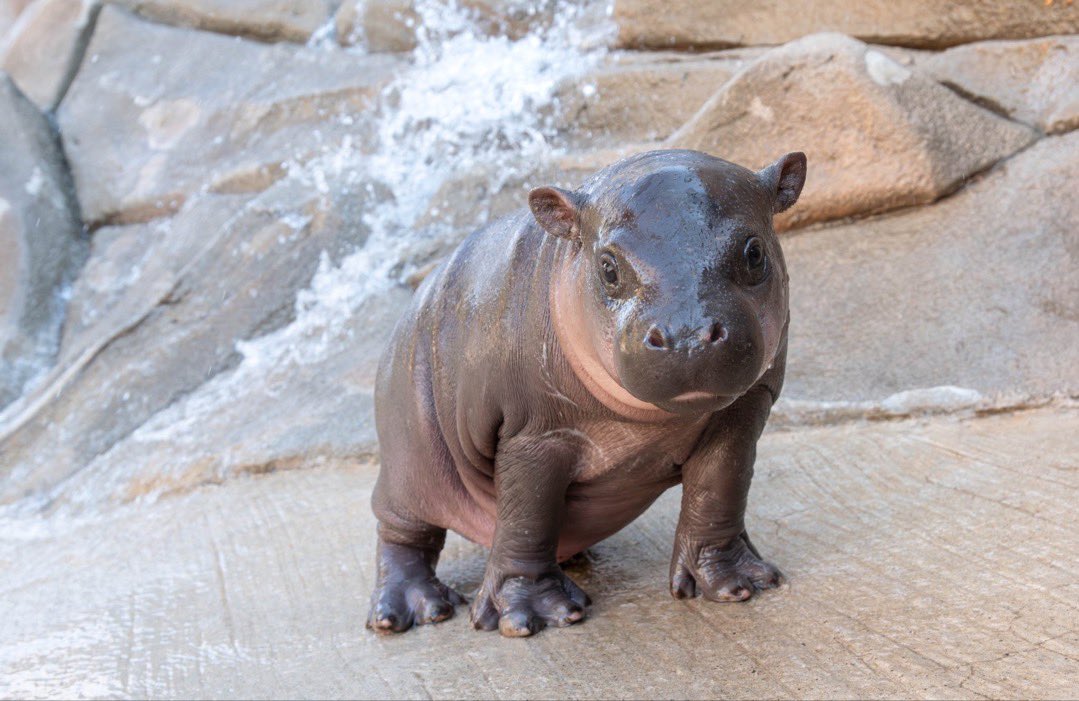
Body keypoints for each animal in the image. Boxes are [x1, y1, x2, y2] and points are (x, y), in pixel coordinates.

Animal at [368, 148, 807, 637]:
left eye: (755, 252)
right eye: (608, 267)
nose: (689, 335)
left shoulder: (745, 407)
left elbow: (720, 489)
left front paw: (735, 583)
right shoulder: (532, 431)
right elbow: (527, 516)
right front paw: (532, 615)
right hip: (409, 462)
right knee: (403, 534)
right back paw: (414, 611)